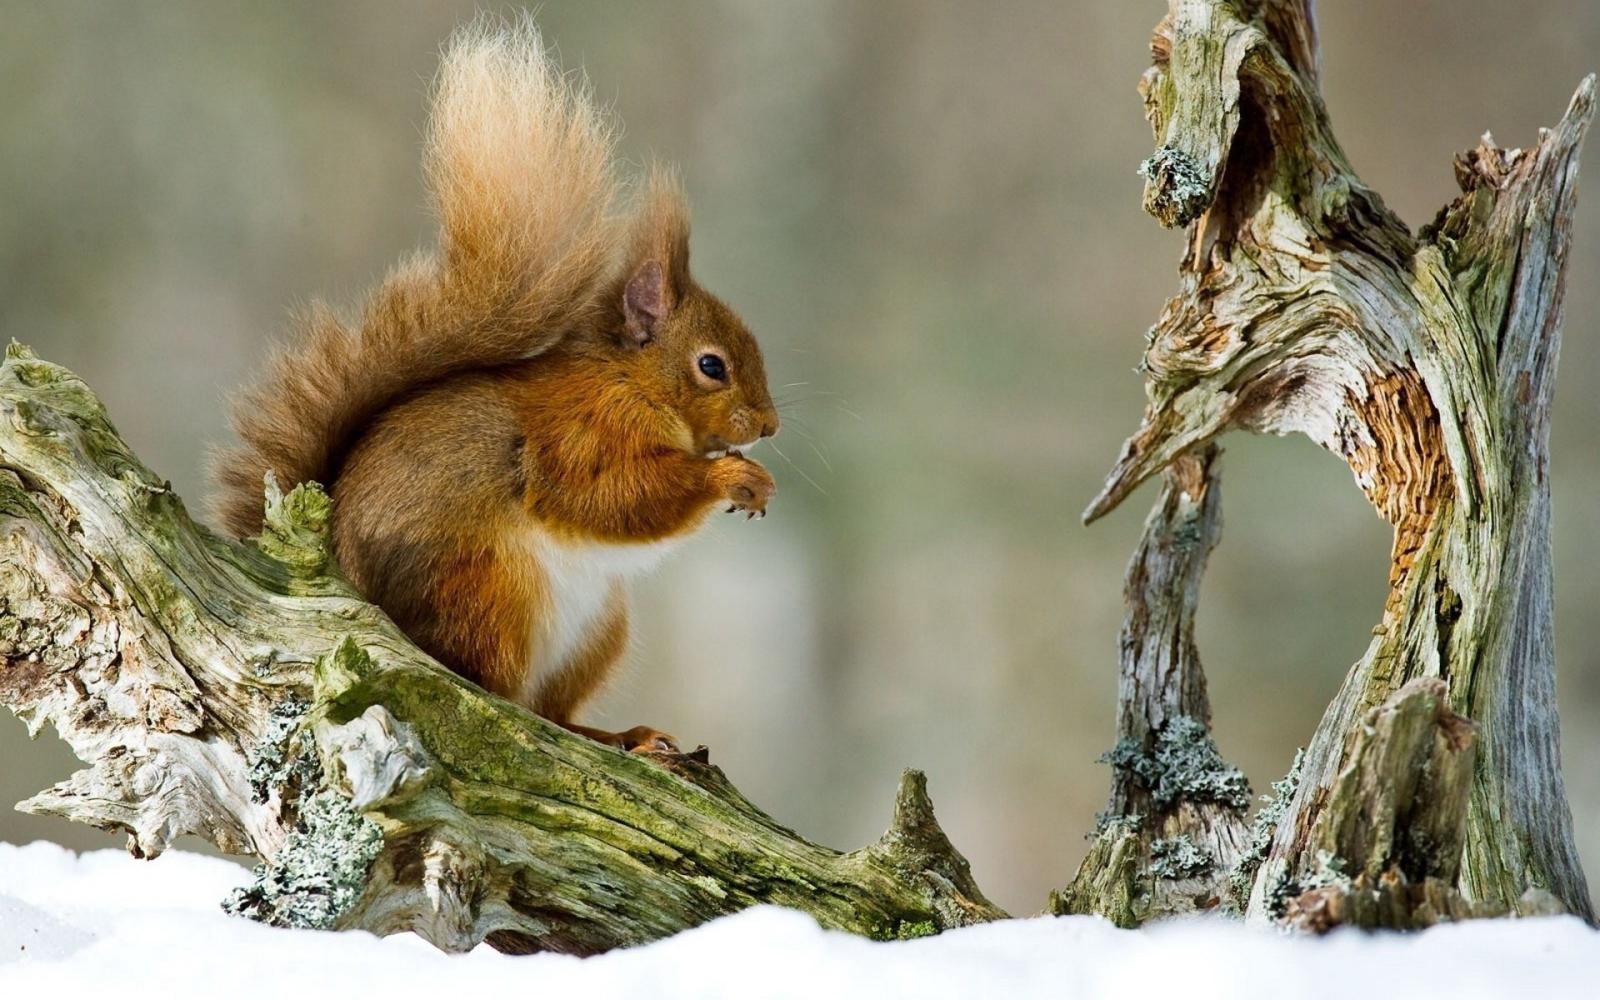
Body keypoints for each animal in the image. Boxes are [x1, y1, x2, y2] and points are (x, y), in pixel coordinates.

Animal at [209, 18, 778, 753]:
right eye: (712, 366)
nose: (768, 426)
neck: (628, 380)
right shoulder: (577, 433)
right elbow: (612, 497)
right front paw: (732, 477)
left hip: (597, 629)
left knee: (549, 709)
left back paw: (619, 736)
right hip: (490, 592)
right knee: (498, 693)